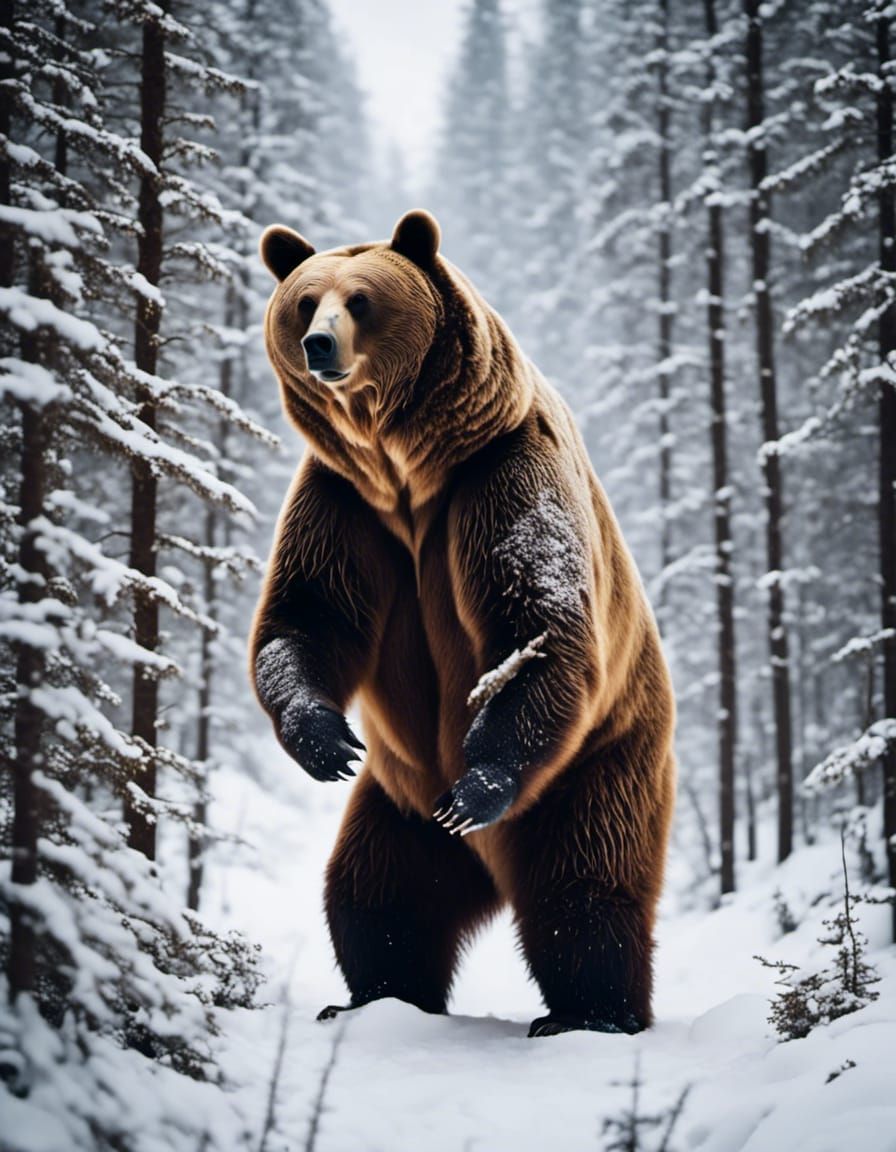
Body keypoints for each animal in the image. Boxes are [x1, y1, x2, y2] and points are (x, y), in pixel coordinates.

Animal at [251, 210, 676, 1037]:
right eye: (304, 300)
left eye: (361, 300)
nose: (318, 345)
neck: (405, 468)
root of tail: (487, 862)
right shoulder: (345, 503)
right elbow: (308, 616)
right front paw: (324, 741)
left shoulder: (501, 477)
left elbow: (536, 627)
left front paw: (482, 779)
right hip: (399, 802)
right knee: (377, 892)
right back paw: (372, 993)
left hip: (601, 761)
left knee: (584, 884)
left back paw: (590, 1014)